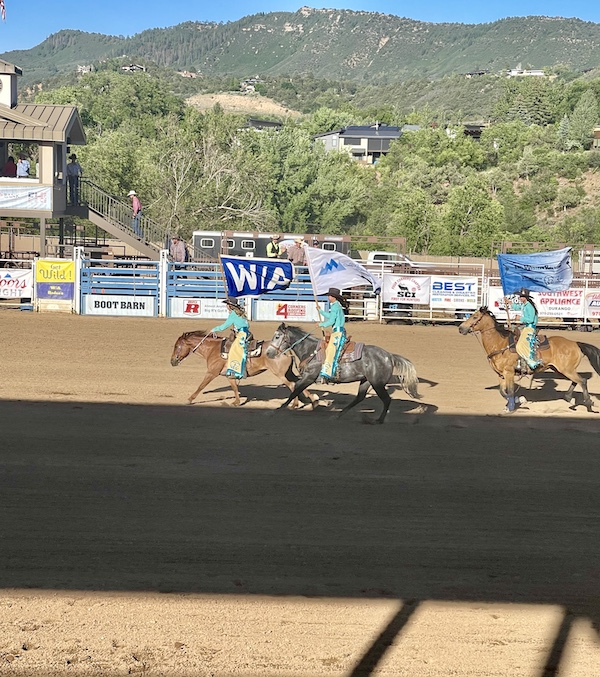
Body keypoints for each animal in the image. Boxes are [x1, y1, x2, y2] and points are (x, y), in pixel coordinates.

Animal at [170, 328, 318, 406]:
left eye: (177, 346)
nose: (172, 361)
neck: (213, 349)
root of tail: (286, 349)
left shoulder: (211, 372)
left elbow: (201, 386)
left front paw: (190, 399)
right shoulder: (229, 375)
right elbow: (235, 387)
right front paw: (236, 402)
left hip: (280, 374)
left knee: (292, 385)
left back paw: (295, 404)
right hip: (288, 372)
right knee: (299, 383)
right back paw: (313, 400)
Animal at [264, 322, 420, 422]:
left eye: (277, 336)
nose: (268, 353)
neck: (310, 350)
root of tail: (389, 356)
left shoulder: (309, 377)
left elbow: (295, 389)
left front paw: (276, 410)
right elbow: (296, 389)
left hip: (377, 384)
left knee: (386, 400)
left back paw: (378, 420)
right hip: (366, 381)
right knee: (359, 398)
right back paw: (338, 415)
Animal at [460, 306, 600, 412]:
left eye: (474, 317)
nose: (461, 328)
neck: (500, 344)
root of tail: (575, 343)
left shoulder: (509, 372)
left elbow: (510, 392)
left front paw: (512, 406)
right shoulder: (501, 375)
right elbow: (503, 392)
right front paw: (515, 402)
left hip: (566, 370)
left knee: (583, 381)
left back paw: (588, 402)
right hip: (560, 370)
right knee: (576, 381)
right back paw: (569, 397)